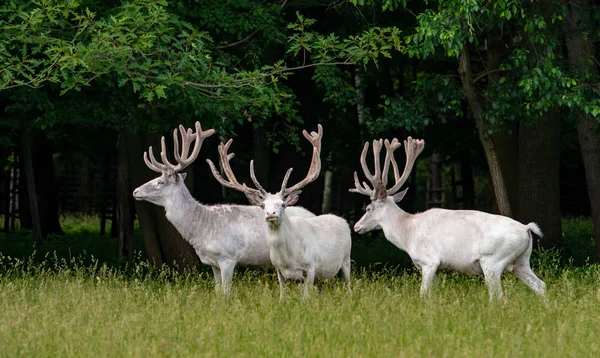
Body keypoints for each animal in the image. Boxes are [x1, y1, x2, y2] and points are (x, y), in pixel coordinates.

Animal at [132, 121, 316, 296]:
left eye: (160, 182)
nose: (135, 191)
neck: (202, 229)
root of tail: (312, 213)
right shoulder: (212, 262)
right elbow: (218, 291)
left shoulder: (228, 257)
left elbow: (226, 292)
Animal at [206, 126, 352, 300]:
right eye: (263, 205)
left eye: (282, 204)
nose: (271, 213)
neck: (289, 258)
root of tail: (342, 220)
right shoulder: (279, 271)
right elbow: (282, 296)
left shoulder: (310, 267)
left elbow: (305, 298)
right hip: (323, 276)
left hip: (346, 260)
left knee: (349, 285)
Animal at [350, 136, 548, 300]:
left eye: (368, 208)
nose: (356, 227)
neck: (408, 233)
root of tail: (526, 229)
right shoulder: (437, 267)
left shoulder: (429, 261)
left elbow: (423, 294)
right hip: (522, 262)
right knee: (541, 285)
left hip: (493, 261)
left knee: (498, 296)